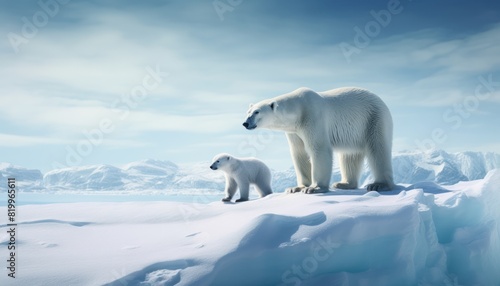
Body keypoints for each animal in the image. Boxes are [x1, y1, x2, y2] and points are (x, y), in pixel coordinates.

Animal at [242, 87, 394, 193]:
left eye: (257, 112)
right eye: (248, 112)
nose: (245, 123)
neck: (298, 110)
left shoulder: (313, 117)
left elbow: (319, 148)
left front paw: (314, 188)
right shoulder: (294, 131)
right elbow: (299, 153)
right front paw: (296, 188)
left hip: (373, 119)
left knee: (378, 149)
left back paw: (379, 184)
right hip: (355, 133)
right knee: (349, 156)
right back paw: (344, 183)